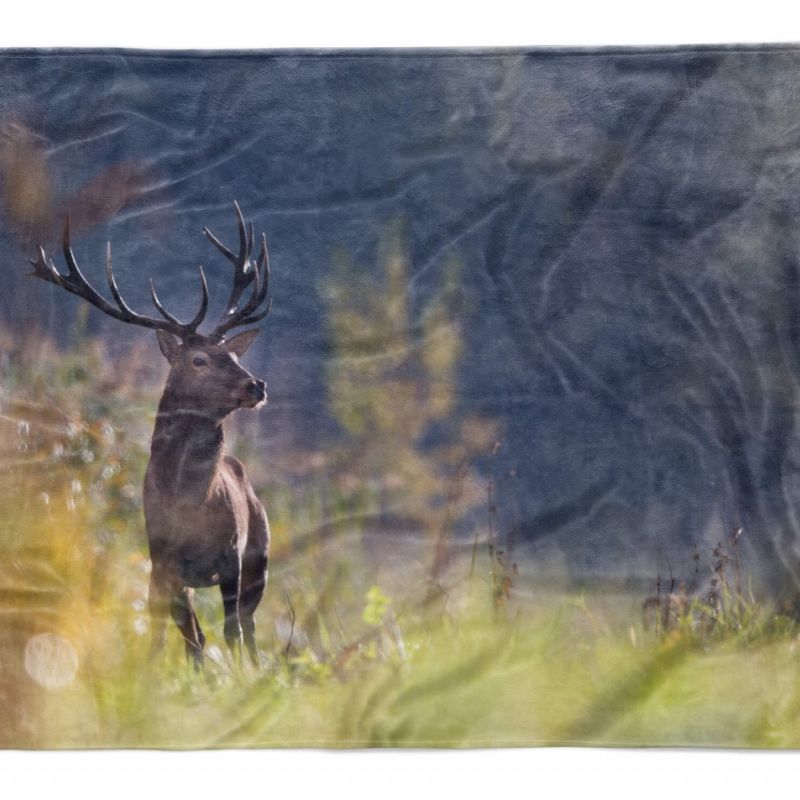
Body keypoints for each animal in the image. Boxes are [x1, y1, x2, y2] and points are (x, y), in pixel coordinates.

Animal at [29, 202, 274, 668]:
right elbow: (175, 635)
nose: (256, 385)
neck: (189, 507)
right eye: (198, 359)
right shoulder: (163, 562)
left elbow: (230, 630)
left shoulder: (233, 557)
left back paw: (256, 667)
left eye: (233, 355)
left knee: (248, 626)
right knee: (189, 632)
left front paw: (238, 675)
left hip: (261, 552)